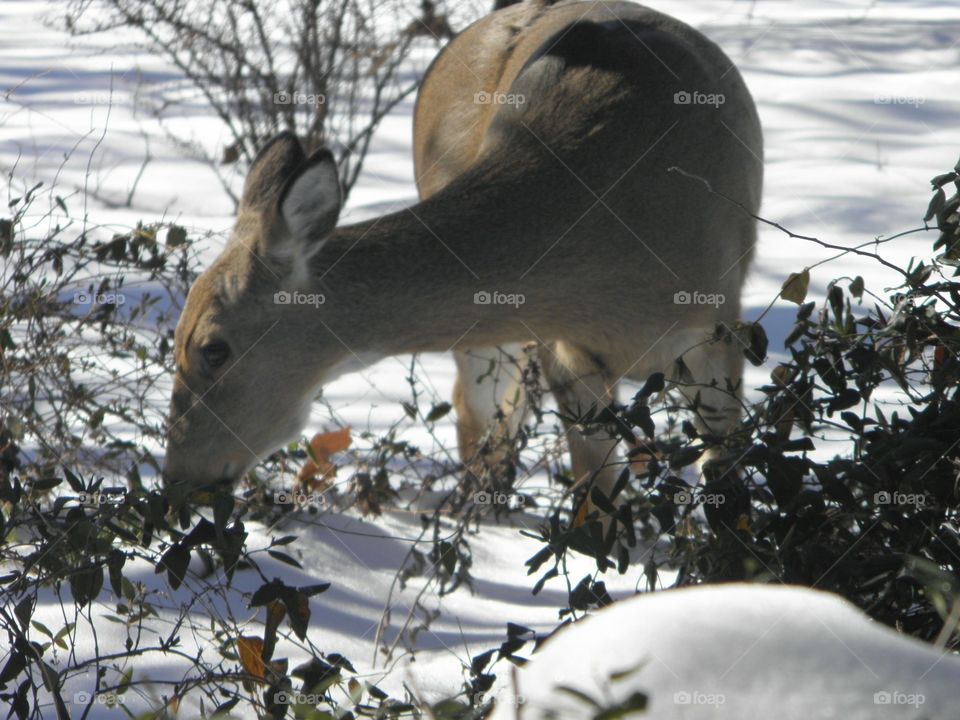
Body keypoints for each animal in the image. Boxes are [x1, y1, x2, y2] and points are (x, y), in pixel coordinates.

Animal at [165, 0, 764, 516]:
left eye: (214, 348)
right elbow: (594, 505)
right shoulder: (566, 349)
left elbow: (725, 490)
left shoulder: (718, 332)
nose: (178, 478)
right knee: (477, 414)